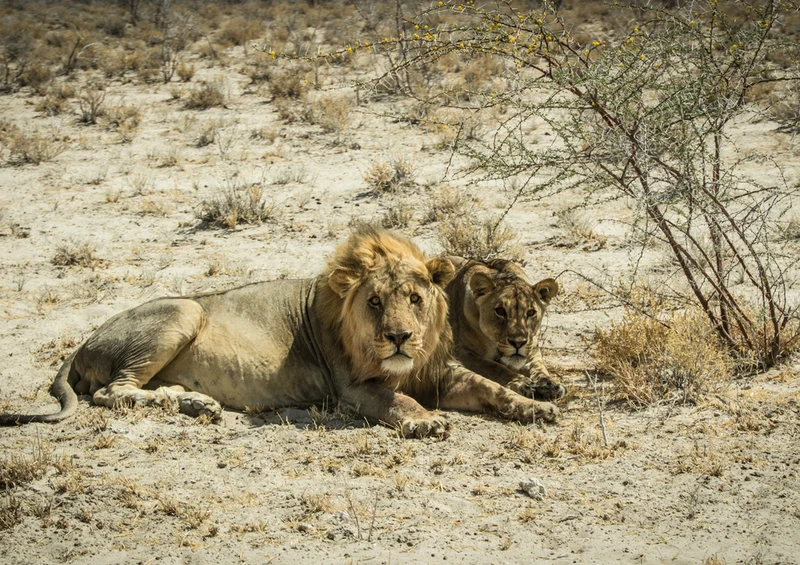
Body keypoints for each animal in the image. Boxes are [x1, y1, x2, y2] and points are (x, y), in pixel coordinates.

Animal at [445, 257, 566, 401]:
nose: (518, 343)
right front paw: (520, 382)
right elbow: (492, 366)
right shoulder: (459, 351)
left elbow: (538, 367)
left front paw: (550, 384)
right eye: (500, 311)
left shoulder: (532, 349)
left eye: (531, 312)